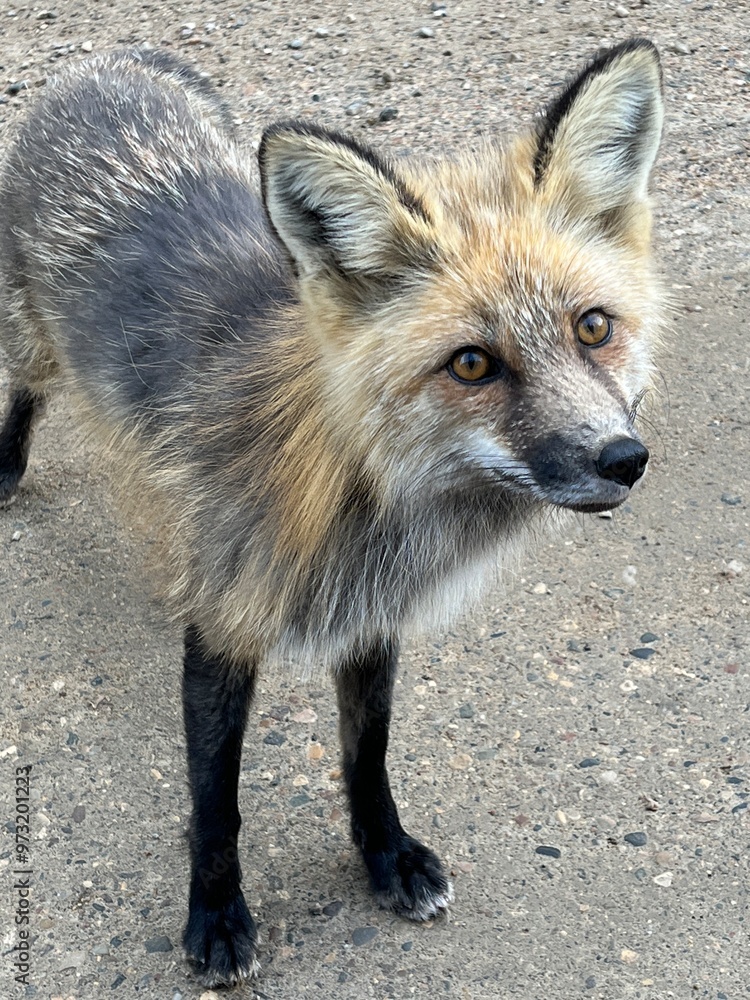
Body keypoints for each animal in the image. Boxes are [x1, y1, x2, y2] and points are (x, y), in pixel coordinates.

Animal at [0, 40, 664, 985]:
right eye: (472, 364)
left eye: (593, 327)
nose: (622, 459)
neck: (365, 512)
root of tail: (107, 64)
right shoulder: (223, 623)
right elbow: (216, 804)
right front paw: (215, 914)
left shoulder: (372, 619)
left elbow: (367, 754)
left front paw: (383, 856)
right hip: (33, 343)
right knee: (25, 386)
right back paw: (5, 463)